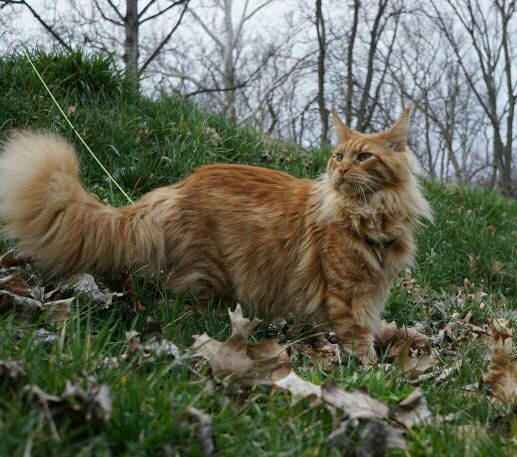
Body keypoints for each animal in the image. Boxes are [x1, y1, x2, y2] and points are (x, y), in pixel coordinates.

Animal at [0, 107, 431, 361]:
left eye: (364, 157)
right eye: (338, 156)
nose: (340, 170)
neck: (372, 215)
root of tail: (176, 189)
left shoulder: (373, 293)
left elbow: (371, 330)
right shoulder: (348, 295)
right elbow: (359, 342)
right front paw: (369, 373)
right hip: (212, 274)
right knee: (179, 305)